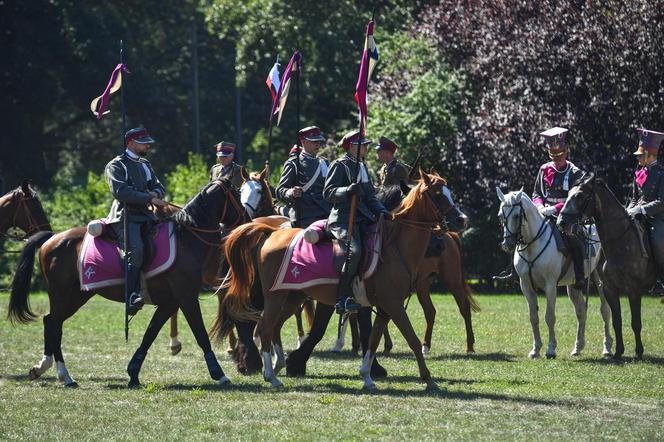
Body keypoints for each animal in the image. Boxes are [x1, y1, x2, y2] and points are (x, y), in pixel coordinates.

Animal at [8, 179, 246, 386]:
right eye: (237, 193)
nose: (247, 218)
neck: (186, 238)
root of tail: (51, 238)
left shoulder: (169, 303)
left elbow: (150, 334)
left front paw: (133, 372)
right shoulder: (186, 298)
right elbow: (201, 334)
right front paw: (219, 374)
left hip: (75, 296)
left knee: (51, 322)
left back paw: (46, 370)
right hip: (66, 296)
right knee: (53, 324)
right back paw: (64, 375)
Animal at [213, 172, 466, 390]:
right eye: (437, 194)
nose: (461, 219)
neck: (394, 246)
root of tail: (270, 232)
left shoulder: (384, 308)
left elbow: (372, 340)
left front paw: (368, 376)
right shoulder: (393, 305)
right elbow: (411, 339)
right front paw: (429, 380)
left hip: (292, 298)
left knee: (270, 326)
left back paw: (276, 366)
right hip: (276, 297)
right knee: (264, 327)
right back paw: (271, 375)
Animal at [496, 187, 616, 360]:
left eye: (517, 215)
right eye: (500, 216)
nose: (508, 244)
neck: (533, 244)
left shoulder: (550, 286)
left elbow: (549, 317)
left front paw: (551, 349)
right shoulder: (526, 286)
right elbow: (533, 317)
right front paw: (535, 349)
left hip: (600, 280)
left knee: (605, 310)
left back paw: (607, 347)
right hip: (573, 286)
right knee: (581, 311)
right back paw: (578, 347)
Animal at [556, 174, 656, 360]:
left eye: (580, 196)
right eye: (569, 194)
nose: (561, 222)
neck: (619, 240)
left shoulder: (633, 289)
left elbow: (636, 322)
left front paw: (638, 351)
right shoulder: (609, 288)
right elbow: (617, 320)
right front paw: (618, 352)